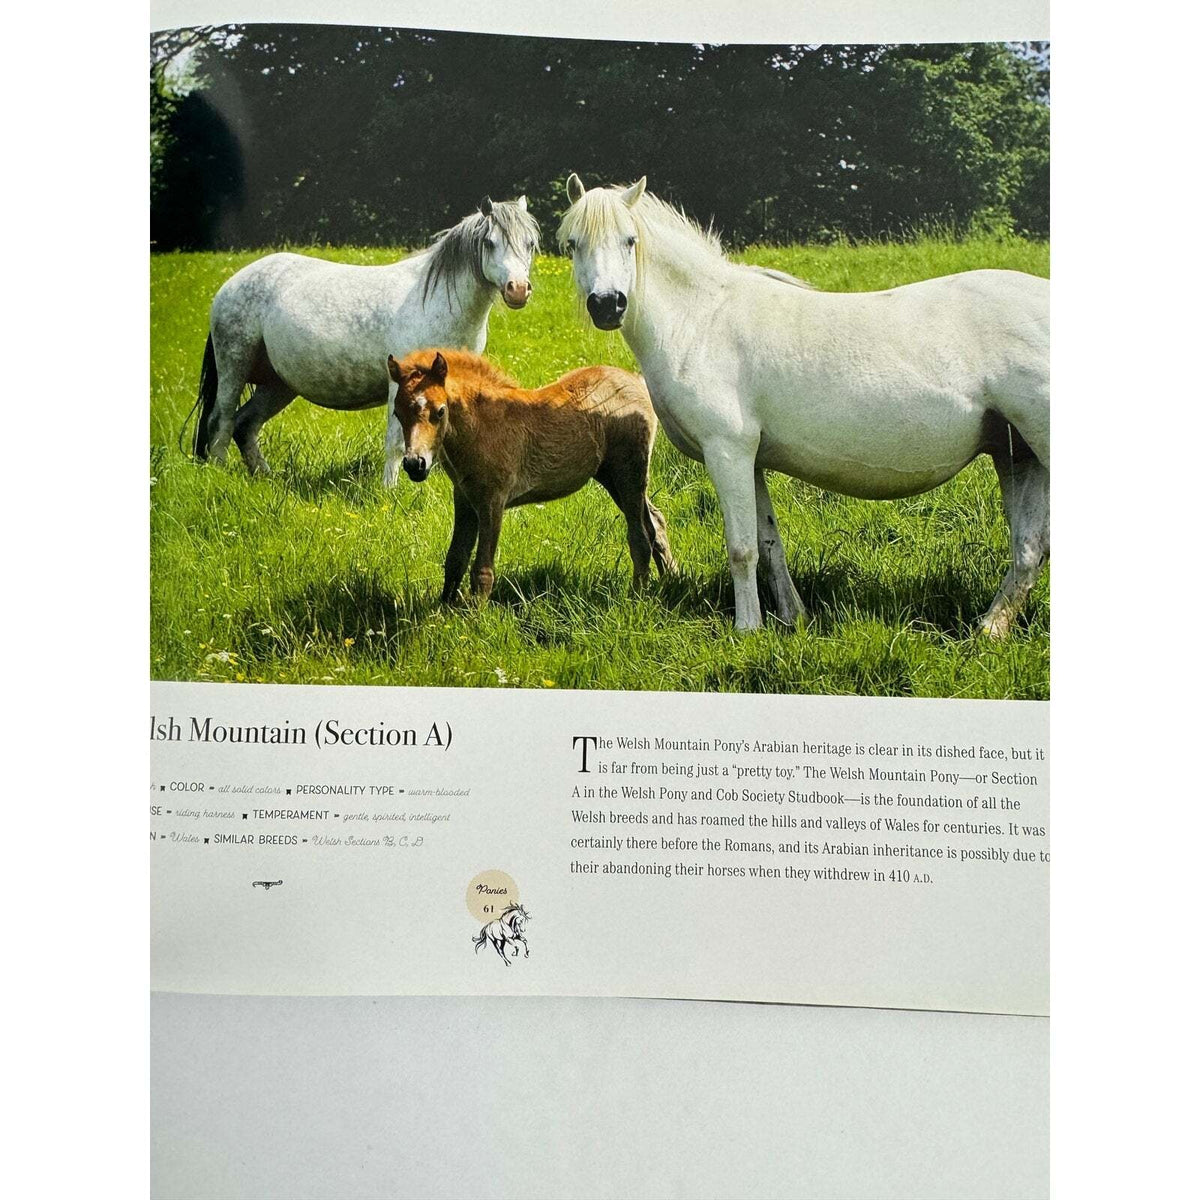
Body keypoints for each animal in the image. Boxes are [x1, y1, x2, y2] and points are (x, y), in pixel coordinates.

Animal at [191, 196, 540, 484]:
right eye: (490, 243)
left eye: (530, 244)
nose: (518, 289)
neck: (437, 300)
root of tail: (232, 283)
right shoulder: (400, 384)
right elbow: (396, 442)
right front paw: (390, 491)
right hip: (234, 366)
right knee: (221, 421)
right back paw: (220, 475)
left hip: (279, 385)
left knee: (245, 425)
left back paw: (265, 477)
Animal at [387, 347, 674, 603]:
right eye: (397, 413)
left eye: (440, 411)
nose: (415, 464)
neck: (481, 427)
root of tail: (636, 380)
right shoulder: (465, 498)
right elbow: (455, 559)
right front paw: (444, 610)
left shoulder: (492, 501)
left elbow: (482, 570)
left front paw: (475, 617)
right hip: (611, 477)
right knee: (655, 523)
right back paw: (670, 580)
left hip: (629, 473)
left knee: (640, 536)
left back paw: (637, 597)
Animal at [558, 175, 1050, 639]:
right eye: (572, 244)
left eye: (630, 240)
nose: (607, 305)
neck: (701, 320)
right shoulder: (751, 459)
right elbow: (768, 543)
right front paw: (793, 617)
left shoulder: (727, 451)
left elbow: (742, 547)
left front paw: (748, 628)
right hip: (1017, 454)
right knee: (1028, 549)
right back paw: (990, 629)